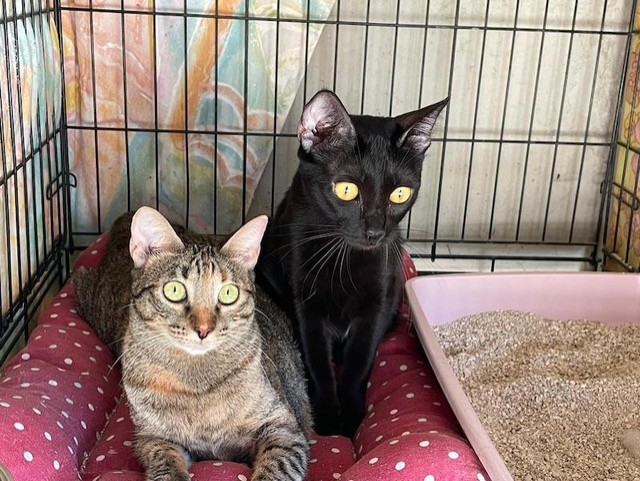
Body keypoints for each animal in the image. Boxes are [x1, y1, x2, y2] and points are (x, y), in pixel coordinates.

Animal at [74, 206, 312, 481]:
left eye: (228, 293)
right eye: (174, 290)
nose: (203, 329)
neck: (198, 386)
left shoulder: (284, 427)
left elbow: (278, 467)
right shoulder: (153, 437)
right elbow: (164, 461)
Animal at [257, 89, 448, 437]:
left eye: (401, 194)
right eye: (347, 190)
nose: (375, 231)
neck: (343, 259)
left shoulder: (378, 302)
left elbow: (359, 362)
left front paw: (352, 419)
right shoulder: (304, 306)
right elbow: (317, 363)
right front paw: (328, 420)